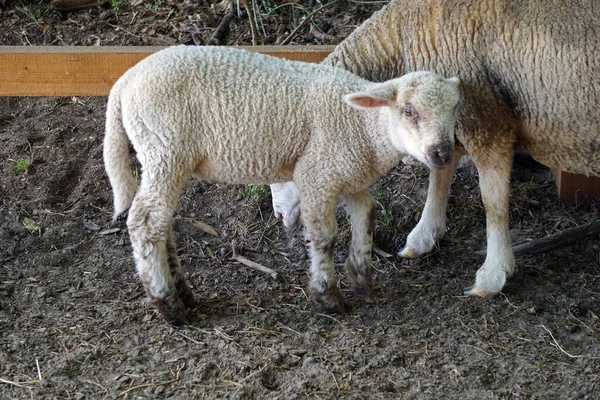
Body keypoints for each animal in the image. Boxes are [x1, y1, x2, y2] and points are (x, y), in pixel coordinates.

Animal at [103, 45, 460, 324]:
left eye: (454, 111)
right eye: (409, 110)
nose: (442, 153)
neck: (364, 127)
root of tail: (123, 84)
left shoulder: (347, 173)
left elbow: (367, 214)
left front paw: (361, 280)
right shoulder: (318, 173)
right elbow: (325, 236)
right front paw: (328, 297)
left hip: (164, 157)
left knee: (161, 225)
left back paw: (183, 293)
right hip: (164, 148)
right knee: (145, 223)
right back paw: (169, 305)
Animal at [270, 0, 600, 296]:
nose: (278, 216)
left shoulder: (486, 119)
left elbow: (492, 201)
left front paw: (493, 273)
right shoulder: (444, 121)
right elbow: (439, 174)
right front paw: (424, 235)